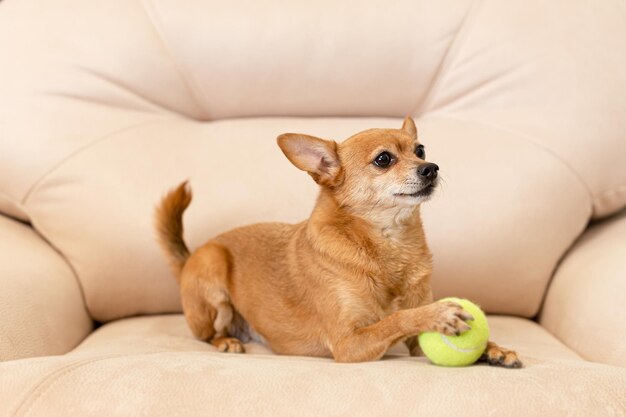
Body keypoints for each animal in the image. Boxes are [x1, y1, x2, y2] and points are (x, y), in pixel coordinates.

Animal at [154, 115, 520, 366]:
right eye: (384, 159)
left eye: (420, 150)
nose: (431, 167)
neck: (390, 245)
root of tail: (190, 258)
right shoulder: (348, 343)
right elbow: (395, 319)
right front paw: (438, 314)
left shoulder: (415, 343)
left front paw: (494, 349)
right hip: (213, 273)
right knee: (207, 334)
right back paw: (226, 341)